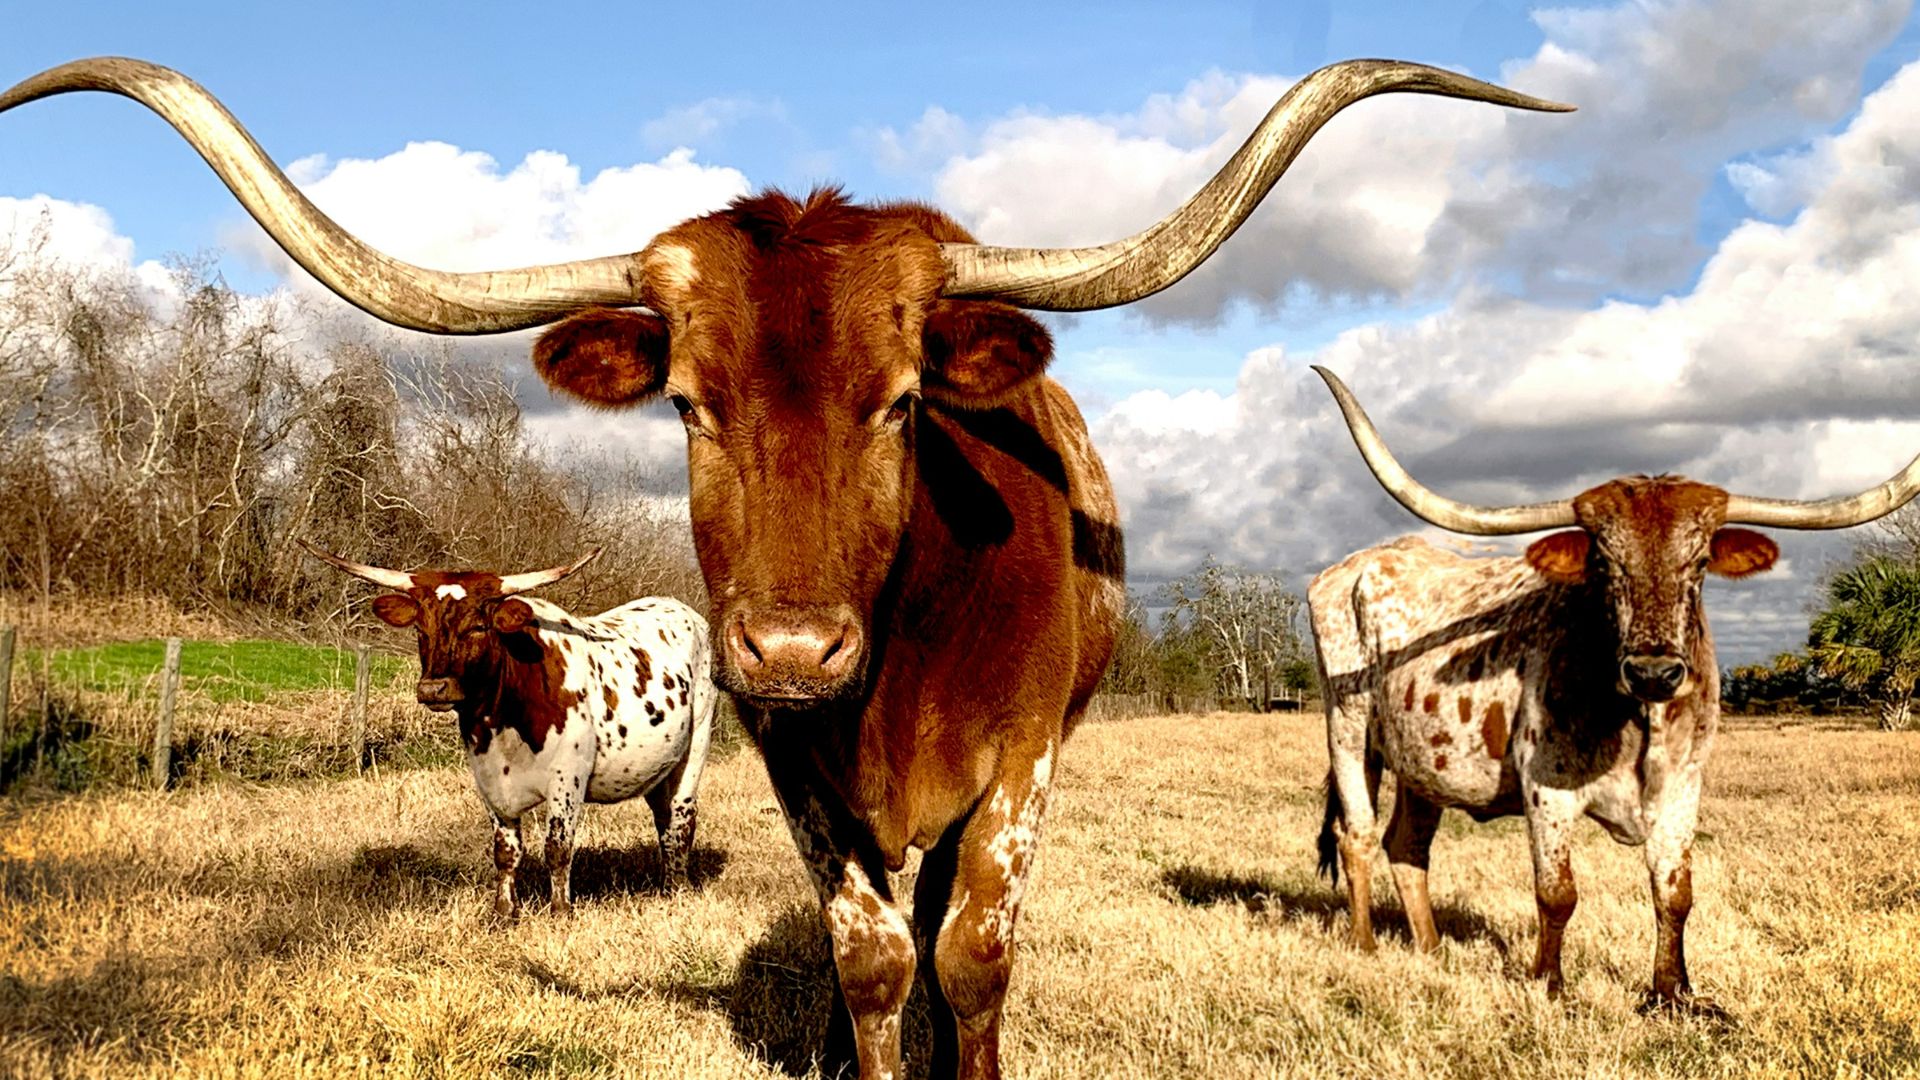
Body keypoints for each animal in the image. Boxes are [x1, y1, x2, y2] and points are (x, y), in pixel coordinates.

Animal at [299, 542, 716, 915]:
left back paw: (677, 891)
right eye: (420, 627)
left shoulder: (568, 778)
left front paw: (560, 912)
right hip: (658, 768)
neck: (501, 722)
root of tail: (680, 608)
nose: (433, 689)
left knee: (681, 820)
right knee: (663, 820)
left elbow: (557, 849)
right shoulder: (488, 780)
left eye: (478, 627)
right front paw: (502, 912)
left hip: (695, 746)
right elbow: (506, 851)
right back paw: (666, 885)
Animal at [1305, 366, 1920, 1009]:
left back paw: (1429, 950)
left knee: (1407, 846)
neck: (1635, 719)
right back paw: (1365, 946)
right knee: (1357, 835)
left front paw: (1674, 994)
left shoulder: (1682, 789)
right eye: (1604, 563)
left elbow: (1675, 894)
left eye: (1700, 562)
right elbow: (1557, 893)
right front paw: (1549, 985)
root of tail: (1353, 565)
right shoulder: (1545, 789)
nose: (1654, 672)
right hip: (1347, 728)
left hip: (1423, 764)